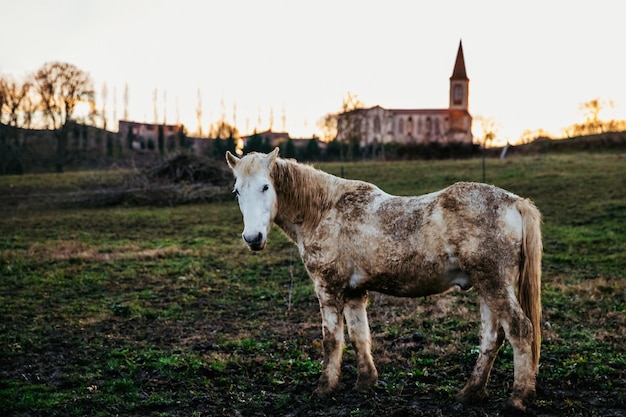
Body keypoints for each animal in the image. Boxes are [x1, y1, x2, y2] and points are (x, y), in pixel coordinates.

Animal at [225, 147, 540, 410]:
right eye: (237, 192)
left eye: (266, 186)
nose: (253, 238)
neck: (324, 211)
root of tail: (516, 203)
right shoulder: (354, 292)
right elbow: (359, 336)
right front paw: (366, 383)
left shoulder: (327, 288)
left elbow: (332, 340)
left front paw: (324, 388)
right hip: (485, 287)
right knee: (492, 338)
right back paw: (469, 393)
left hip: (494, 284)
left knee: (520, 330)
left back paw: (517, 398)